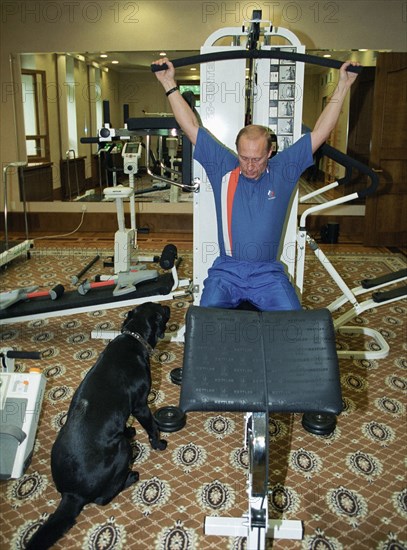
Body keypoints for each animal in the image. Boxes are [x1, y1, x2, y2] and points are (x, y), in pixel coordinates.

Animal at [25, 304, 172, 548]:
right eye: (161, 309)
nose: (168, 305)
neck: (132, 337)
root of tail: (71, 494)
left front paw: (130, 430)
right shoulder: (141, 405)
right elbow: (152, 426)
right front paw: (159, 444)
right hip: (122, 449)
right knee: (103, 498)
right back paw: (131, 477)